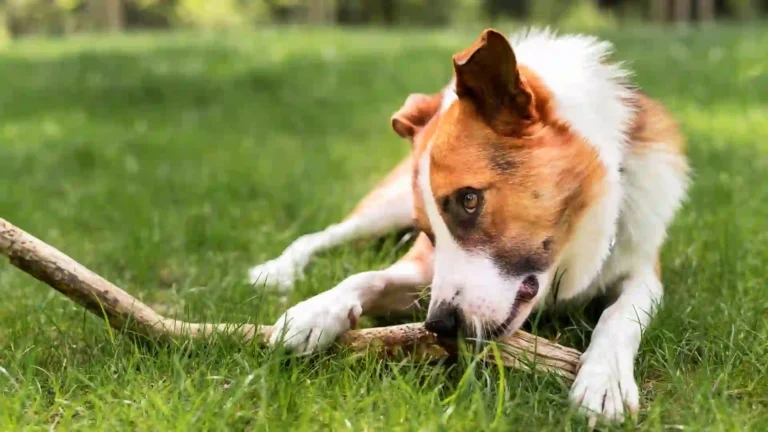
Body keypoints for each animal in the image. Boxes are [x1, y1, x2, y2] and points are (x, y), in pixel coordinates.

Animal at [250, 29, 688, 422]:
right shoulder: (423, 266)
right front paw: (315, 311)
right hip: (383, 209)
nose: (440, 326)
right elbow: (367, 276)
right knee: (321, 235)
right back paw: (276, 270)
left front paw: (604, 379)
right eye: (429, 232)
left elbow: (619, 317)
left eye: (469, 199)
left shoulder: (644, 273)